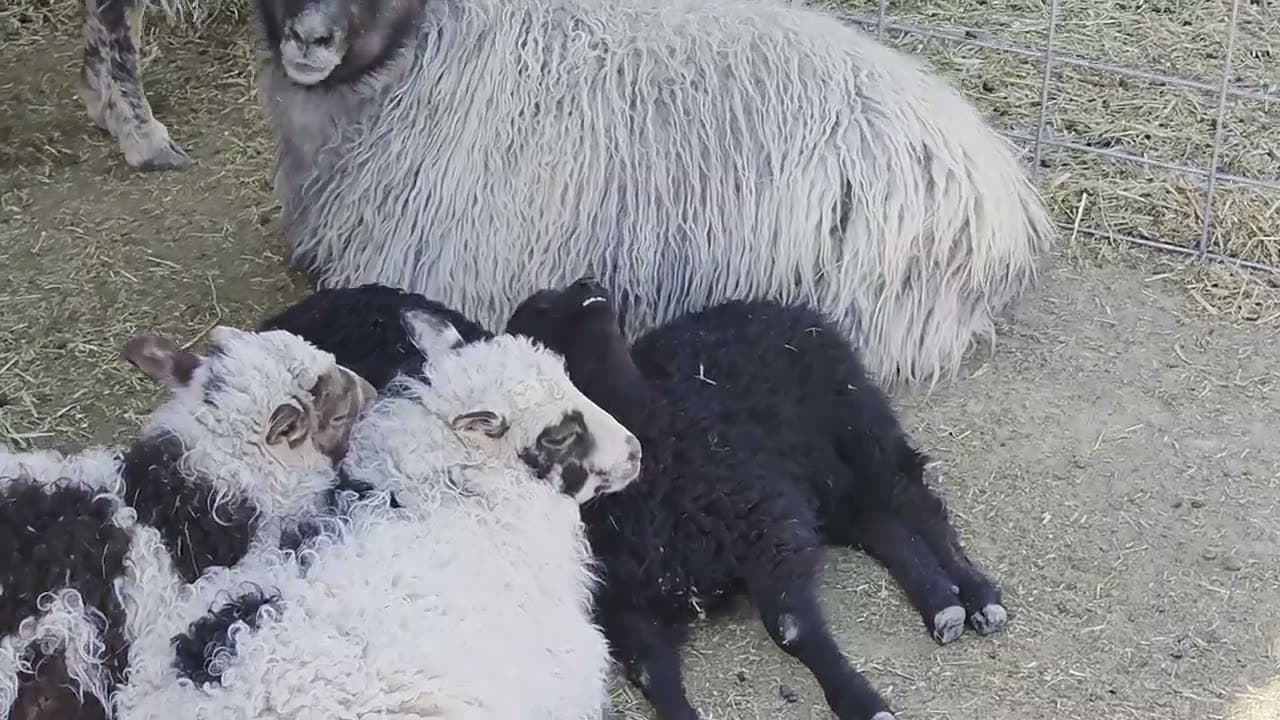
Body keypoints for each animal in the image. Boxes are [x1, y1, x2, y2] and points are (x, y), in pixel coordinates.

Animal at [502, 277, 1009, 720]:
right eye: (538, 309)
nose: (590, 284)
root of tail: (790, 309)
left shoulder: (768, 534)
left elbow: (791, 627)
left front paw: (863, 702)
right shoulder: (622, 603)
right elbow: (651, 675)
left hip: (860, 431)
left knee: (915, 503)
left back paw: (978, 596)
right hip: (821, 483)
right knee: (879, 525)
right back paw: (941, 602)